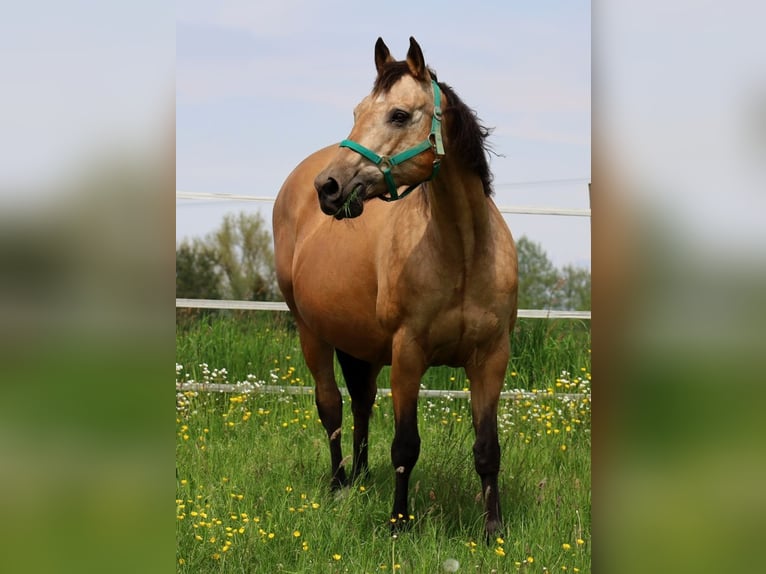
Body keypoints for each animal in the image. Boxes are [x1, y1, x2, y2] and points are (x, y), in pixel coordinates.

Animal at [272, 37, 520, 540]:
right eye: (357, 110)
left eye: (399, 115)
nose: (328, 187)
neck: (463, 253)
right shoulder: (408, 354)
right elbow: (406, 445)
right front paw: (398, 524)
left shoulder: (491, 358)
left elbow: (488, 448)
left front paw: (494, 530)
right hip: (311, 333)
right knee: (331, 407)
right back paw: (340, 484)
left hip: (360, 345)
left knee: (362, 403)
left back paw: (363, 476)